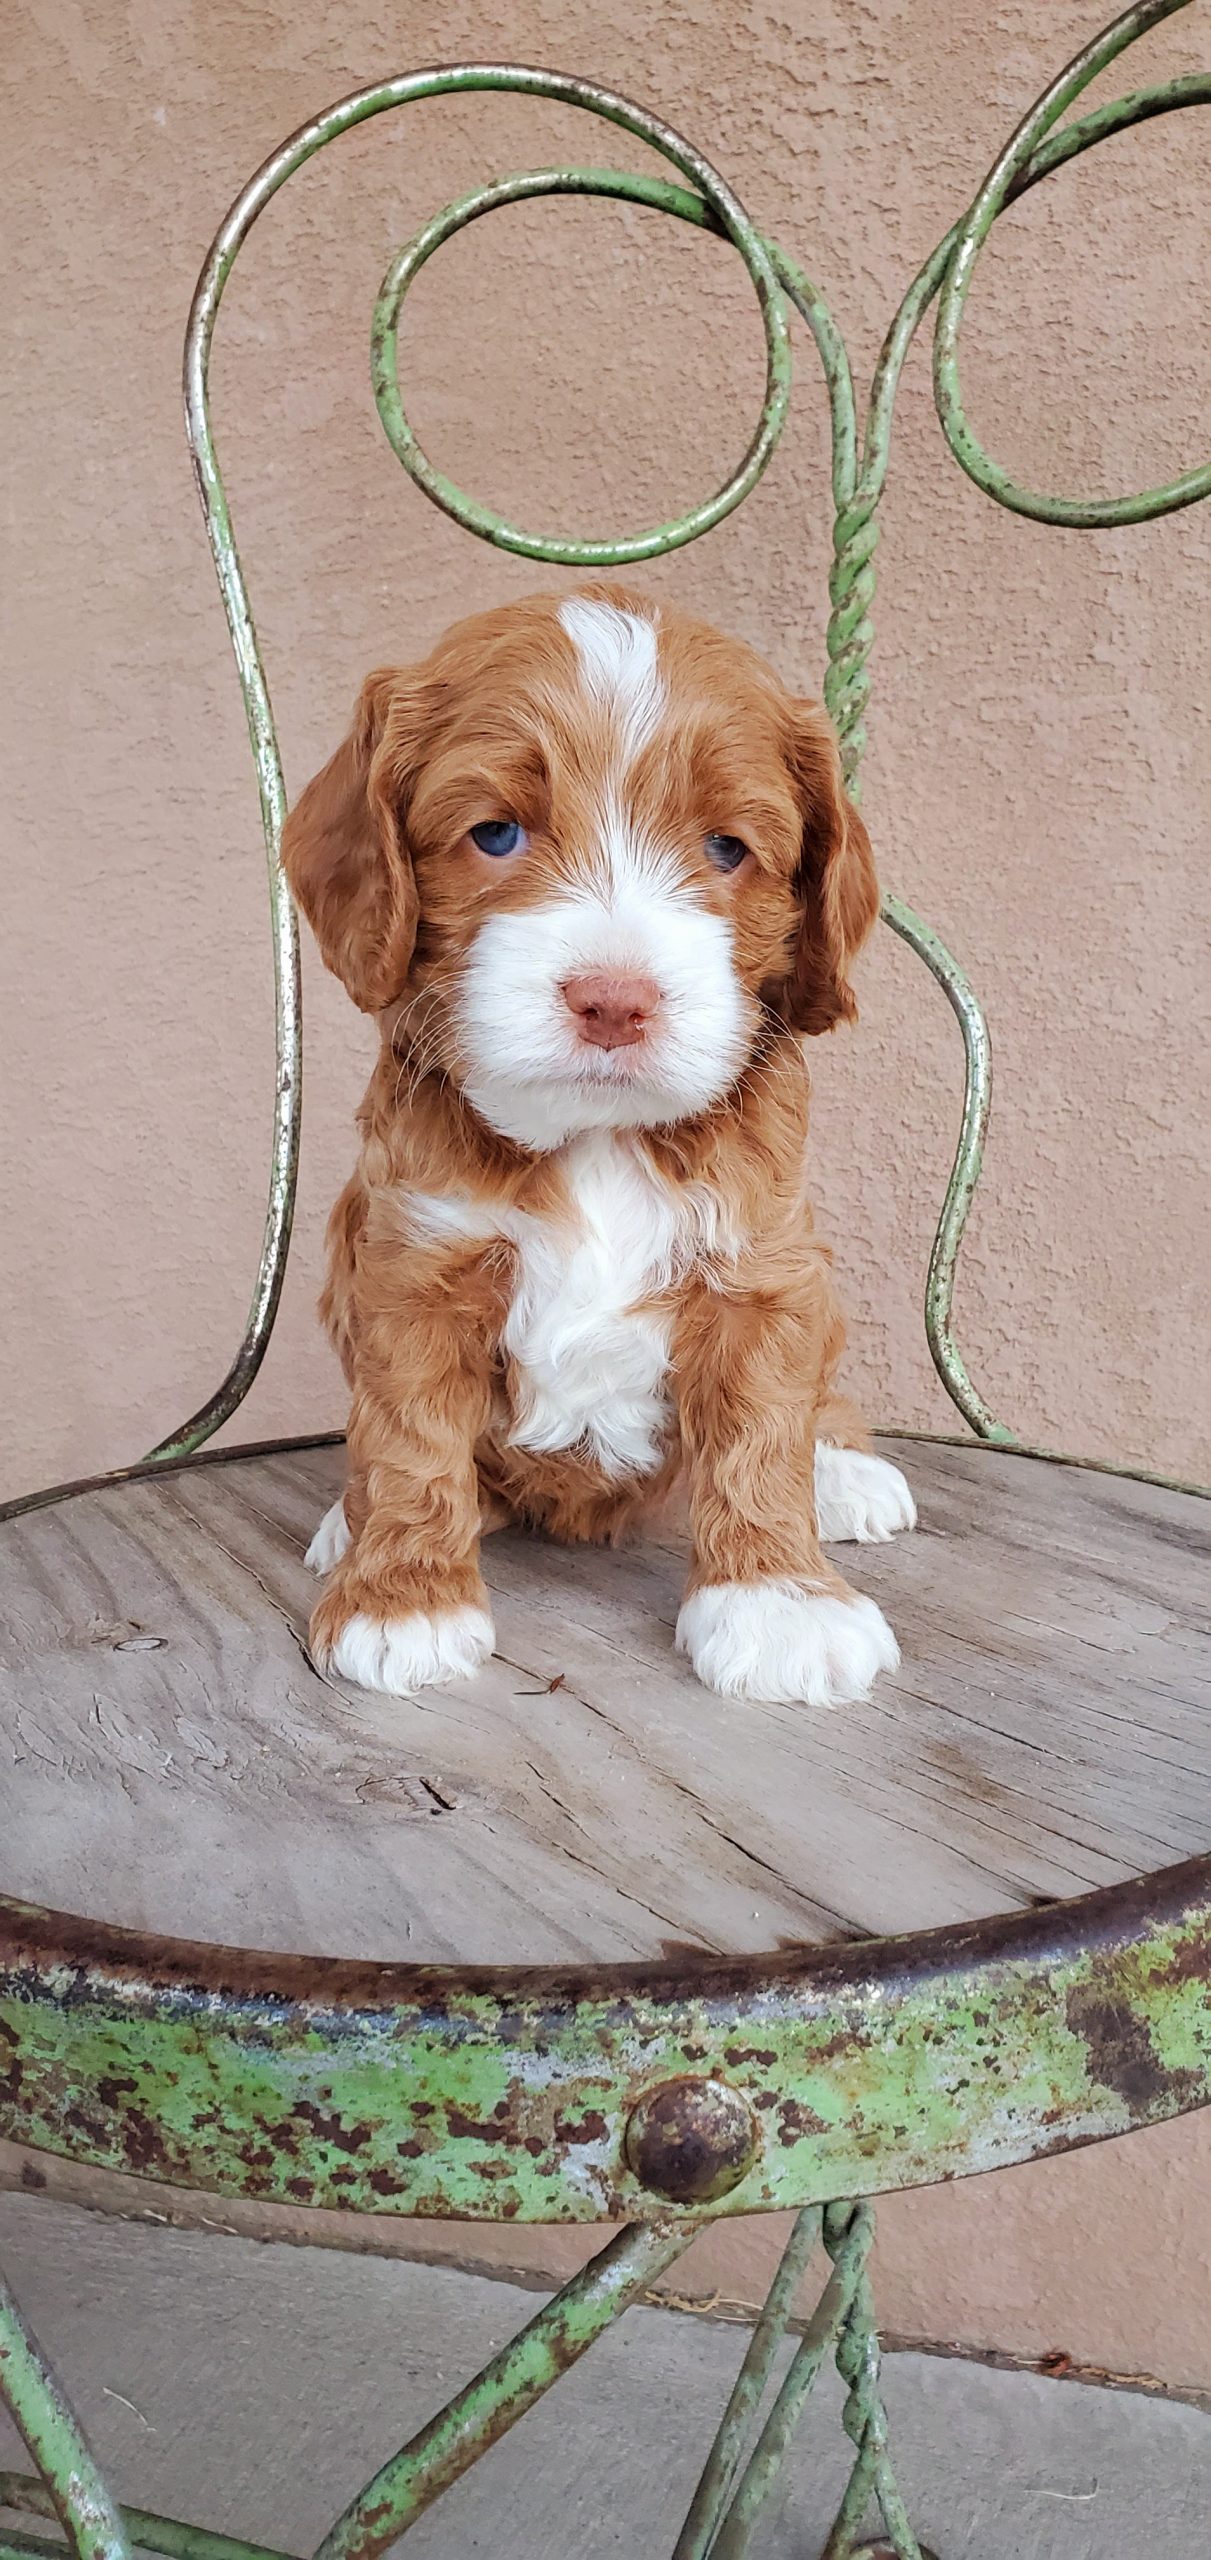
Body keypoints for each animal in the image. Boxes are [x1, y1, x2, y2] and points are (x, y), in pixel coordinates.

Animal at [282, 585, 915, 1707]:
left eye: (724, 849)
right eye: (494, 834)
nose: (613, 999)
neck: (595, 1136)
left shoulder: (763, 1266)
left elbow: (762, 1431)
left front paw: (780, 1604)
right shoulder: (411, 1268)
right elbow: (408, 1443)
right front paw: (401, 1598)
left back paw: (845, 1472)